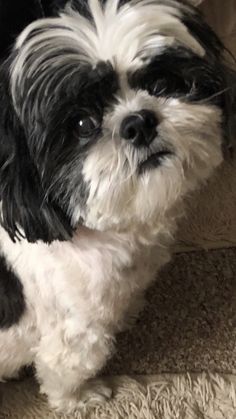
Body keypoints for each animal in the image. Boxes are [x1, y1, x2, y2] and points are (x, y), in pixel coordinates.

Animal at [0, 0, 235, 414]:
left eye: (162, 84)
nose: (137, 123)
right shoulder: (75, 333)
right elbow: (64, 374)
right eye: (82, 124)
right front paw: (80, 398)